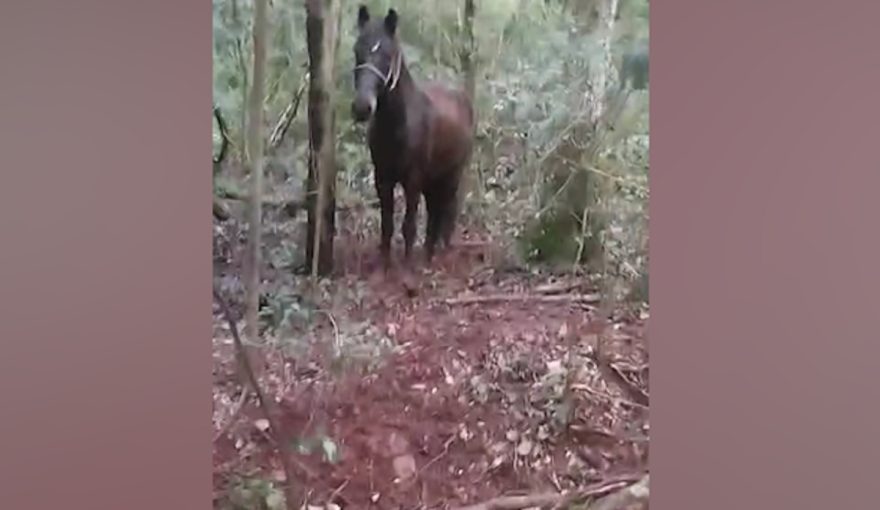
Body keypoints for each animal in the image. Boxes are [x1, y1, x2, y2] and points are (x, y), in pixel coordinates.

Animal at [350, 5, 475, 270]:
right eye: (357, 50)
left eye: (387, 54)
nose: (362, 107)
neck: (397, 126)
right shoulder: (383, 178)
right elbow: (387, 225)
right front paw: (385, 263)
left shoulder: (413, 179)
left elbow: (408, 226)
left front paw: (407, 267)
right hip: (433, 179)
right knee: (435, 214)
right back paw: (428, 253)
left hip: (451, 175)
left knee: (446, 212)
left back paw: (438, 254)